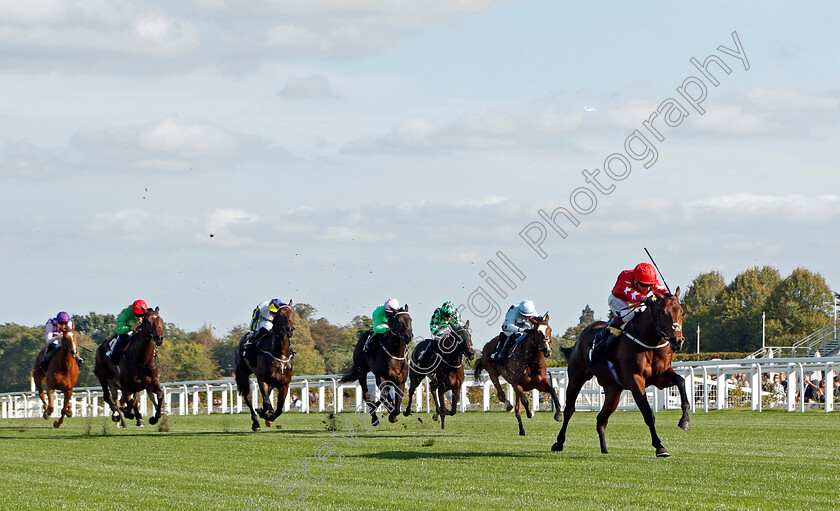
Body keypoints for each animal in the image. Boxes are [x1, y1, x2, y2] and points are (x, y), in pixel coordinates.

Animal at [233, 302, 296, 434]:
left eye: (292, 314)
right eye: (279, 315)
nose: (289, 329)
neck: (279, 354)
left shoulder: (284, 383)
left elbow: (279, 408)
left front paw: (268, 416)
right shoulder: (262, 379)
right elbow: (267, 402)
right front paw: (266, 415)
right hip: (243, 373)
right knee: (248, 397)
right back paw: (256, 423)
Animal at [552, 288, 688, 460]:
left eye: (681, 311)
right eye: (663, 312)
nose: (677, 340)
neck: (649, 341)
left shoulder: (660, 377)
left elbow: (681, 381)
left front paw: (685, 420)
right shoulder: (635, 380)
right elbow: (648, 414)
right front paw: (659, 446)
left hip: (613, 390)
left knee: (601, 419)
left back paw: (604, 449)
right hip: (576, 378)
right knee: (569, 409)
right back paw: (559, 442)